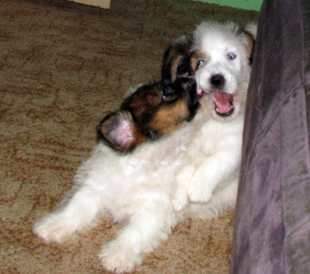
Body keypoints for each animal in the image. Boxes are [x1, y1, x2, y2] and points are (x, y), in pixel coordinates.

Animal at [32, 78, 202, 272]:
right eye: (166, 92)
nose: (191, 79)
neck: (141, 166)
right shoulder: (94, 190)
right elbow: (73, 210)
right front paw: (53, 225)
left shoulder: (153, 211)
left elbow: (135, 233)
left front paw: (117, 255)